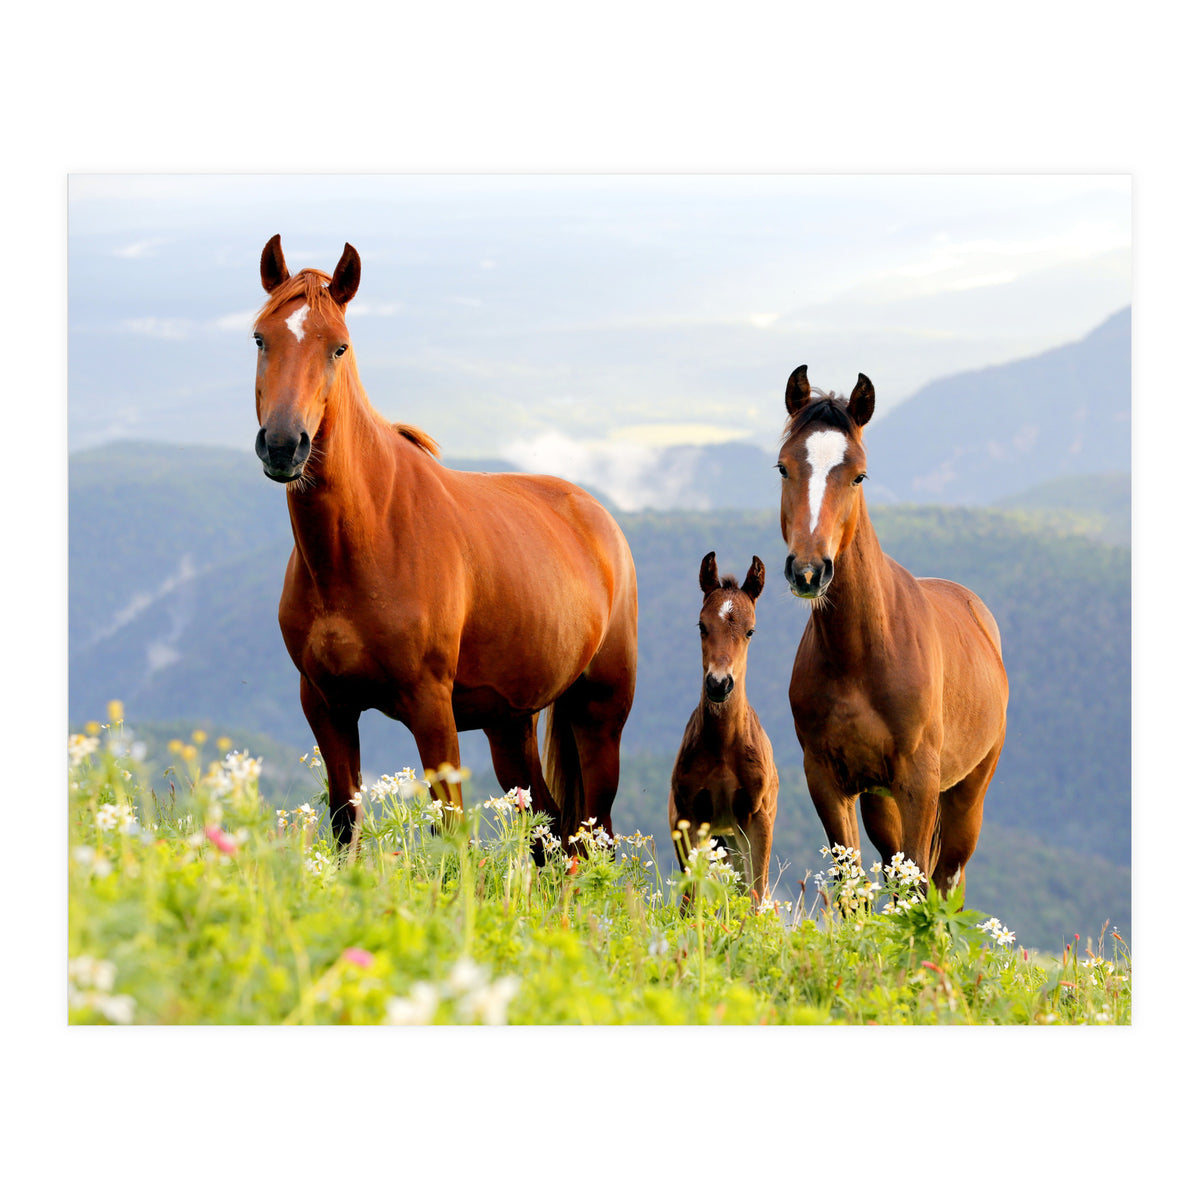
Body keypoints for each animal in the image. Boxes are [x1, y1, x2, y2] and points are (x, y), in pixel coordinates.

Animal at [251, 235, 638, 850]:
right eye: (261, 337)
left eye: (338, 348)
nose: (285, 445)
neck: (363, 544)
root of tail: (600, 519)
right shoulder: (326, 705)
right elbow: (344, 823)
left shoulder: (431, 708)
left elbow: (452, 832)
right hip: (510, 724)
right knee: (550, 830)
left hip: (600, 715)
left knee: (592, 835)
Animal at [668, 552, 779, 901]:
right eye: (702, 625)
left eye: (750, 631)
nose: (719, 683)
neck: (723, 746)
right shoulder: (688, 817)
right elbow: (690, 898)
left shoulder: (757, 818)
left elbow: (756, 895)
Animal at [777, 366, 1008, 897]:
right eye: (783, 468)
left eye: (858, 474)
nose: (808, 571)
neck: (860, 654)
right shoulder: (828, 781)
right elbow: (851, 885)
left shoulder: (918, 782)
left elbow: (921, 882)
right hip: (880, 800)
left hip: (967, 794)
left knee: (946, 878)